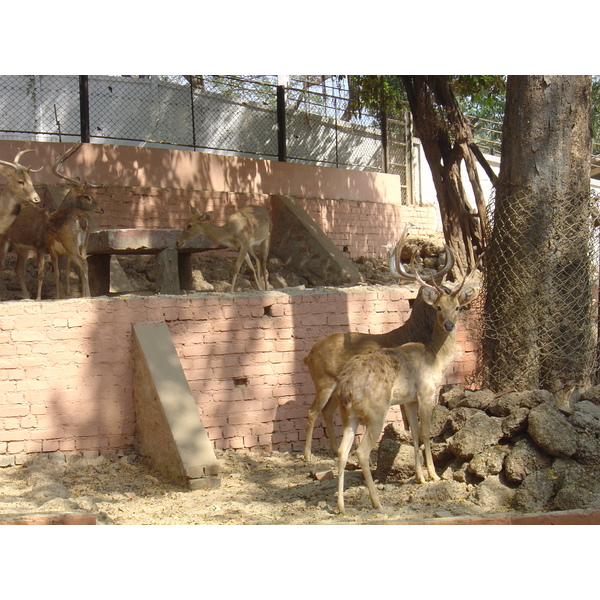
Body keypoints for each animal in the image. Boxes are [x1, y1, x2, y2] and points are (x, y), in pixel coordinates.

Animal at [46, 143, 104, 298]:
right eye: (87, 196)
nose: (101, 209)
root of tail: (82, 219)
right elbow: (66, 270)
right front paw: (68, 294)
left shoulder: (51, 247)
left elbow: (57, 273)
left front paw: (58, 297)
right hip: (84, 242)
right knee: (85, 263)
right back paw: (86, 295)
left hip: (70, 242)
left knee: (83, 263)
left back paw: (87, 295)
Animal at [302, 225, 452, 464]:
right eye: (440, 296)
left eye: (447, 289)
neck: (416, 335)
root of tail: (308, 355)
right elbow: (407, 420)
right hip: (323, 380)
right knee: (313, 411)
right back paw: (308, 455)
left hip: (336, 387)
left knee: (327, 411)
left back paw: (336, 452)